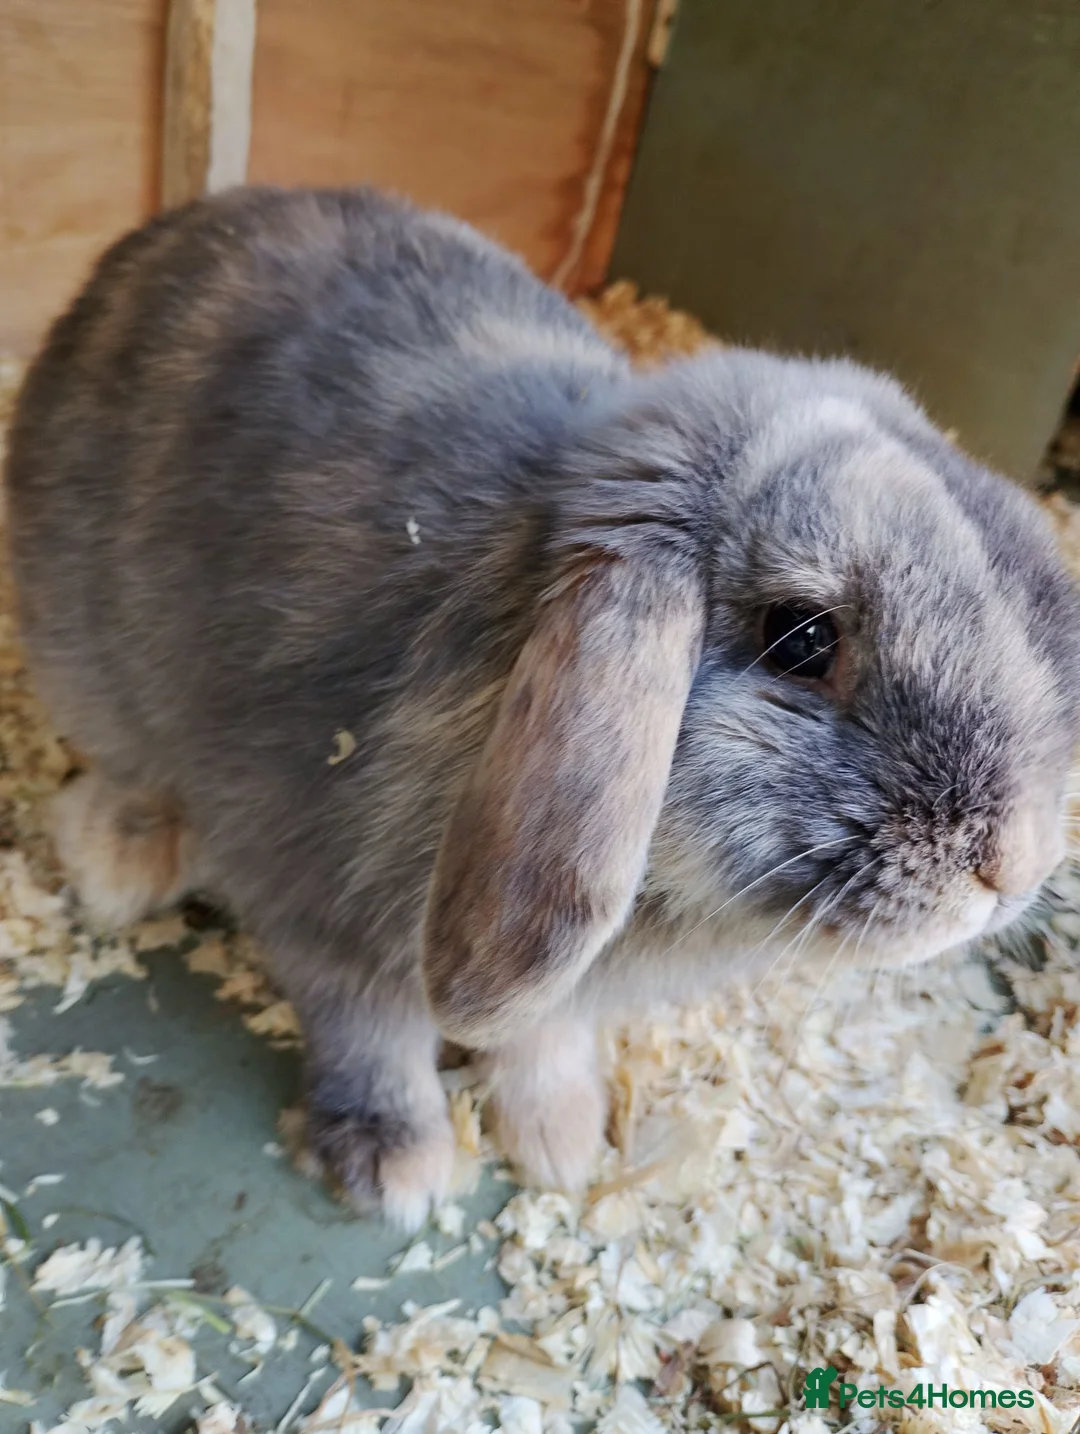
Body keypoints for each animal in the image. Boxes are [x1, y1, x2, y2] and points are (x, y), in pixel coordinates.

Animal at [5, 185, 1080, 1229]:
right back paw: (119, 862)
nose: (1011, 865)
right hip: (82, 664)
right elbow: (369, 1031)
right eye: (803, 638)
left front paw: (564, 1143)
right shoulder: (318, 897)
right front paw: (396, 1166)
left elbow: (541, 1038)